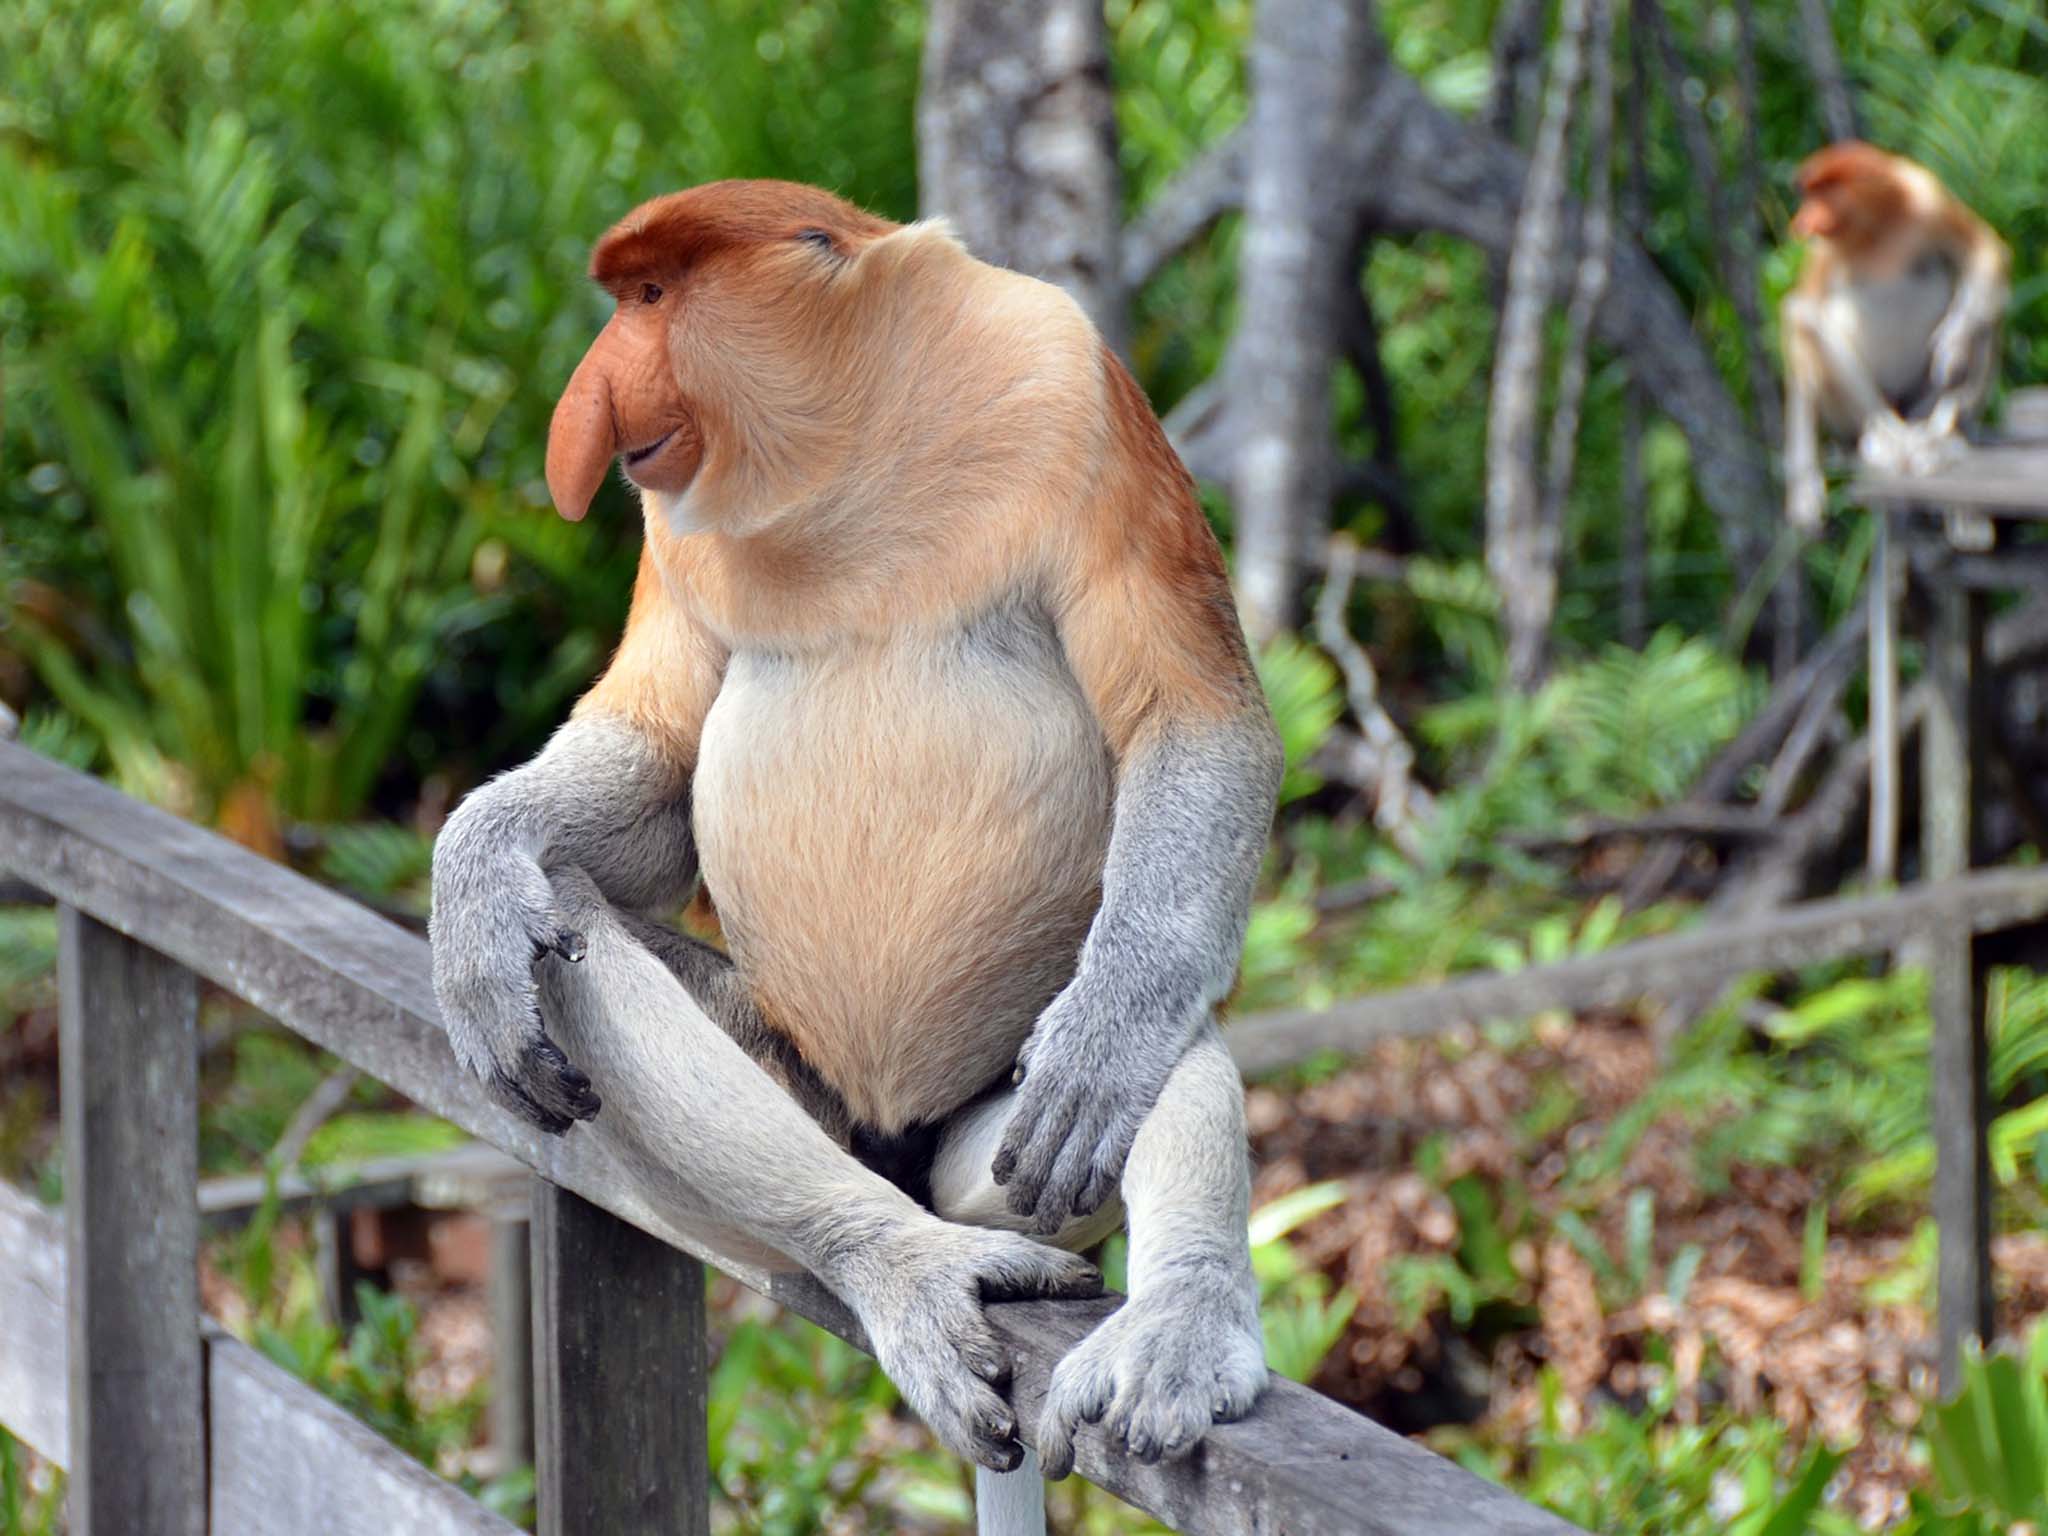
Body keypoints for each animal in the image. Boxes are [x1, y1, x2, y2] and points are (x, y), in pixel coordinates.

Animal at [432, 183, 1277, 1490]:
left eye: (651, 296)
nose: (588, 400)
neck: (847, 450)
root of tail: (895, 1141)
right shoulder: (670, 527)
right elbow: (655, 766)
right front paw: (472, 884)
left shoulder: (1074, 390)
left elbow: (1191, 723)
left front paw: (1105, 1048)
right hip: (797, 1090)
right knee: (567, 918)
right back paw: (895, 1260)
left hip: (1003, 1144)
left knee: (1161, 1042)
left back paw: (1172, 1325)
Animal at [1785, 140, 2007, 548]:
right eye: (1808, 194)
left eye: (1821, 192)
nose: (1802, 221)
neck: (1878, 226)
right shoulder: (1824, 248)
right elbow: (1801, 312)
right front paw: (1805, 494)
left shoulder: (1928, 199)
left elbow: (1984, 250)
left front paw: (1953, 346)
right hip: (1851, 418)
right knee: (1812, 329)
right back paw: (1889, 441)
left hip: (1919, 403)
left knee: (1989, 317)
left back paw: (1943, 437)